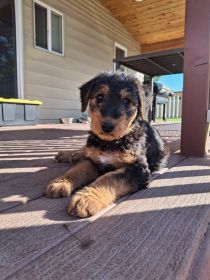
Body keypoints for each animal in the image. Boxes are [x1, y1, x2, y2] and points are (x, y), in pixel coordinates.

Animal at [45, 71, 169, 218]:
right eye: (99, 97)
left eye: (127, 100)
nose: (107, 126)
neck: (110, 142)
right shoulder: (93, 159)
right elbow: (79, 169)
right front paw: (61, 183)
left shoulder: (138, 168)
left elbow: (110, 178)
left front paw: (86, 199)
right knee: (83, 150)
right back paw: (66, 154)